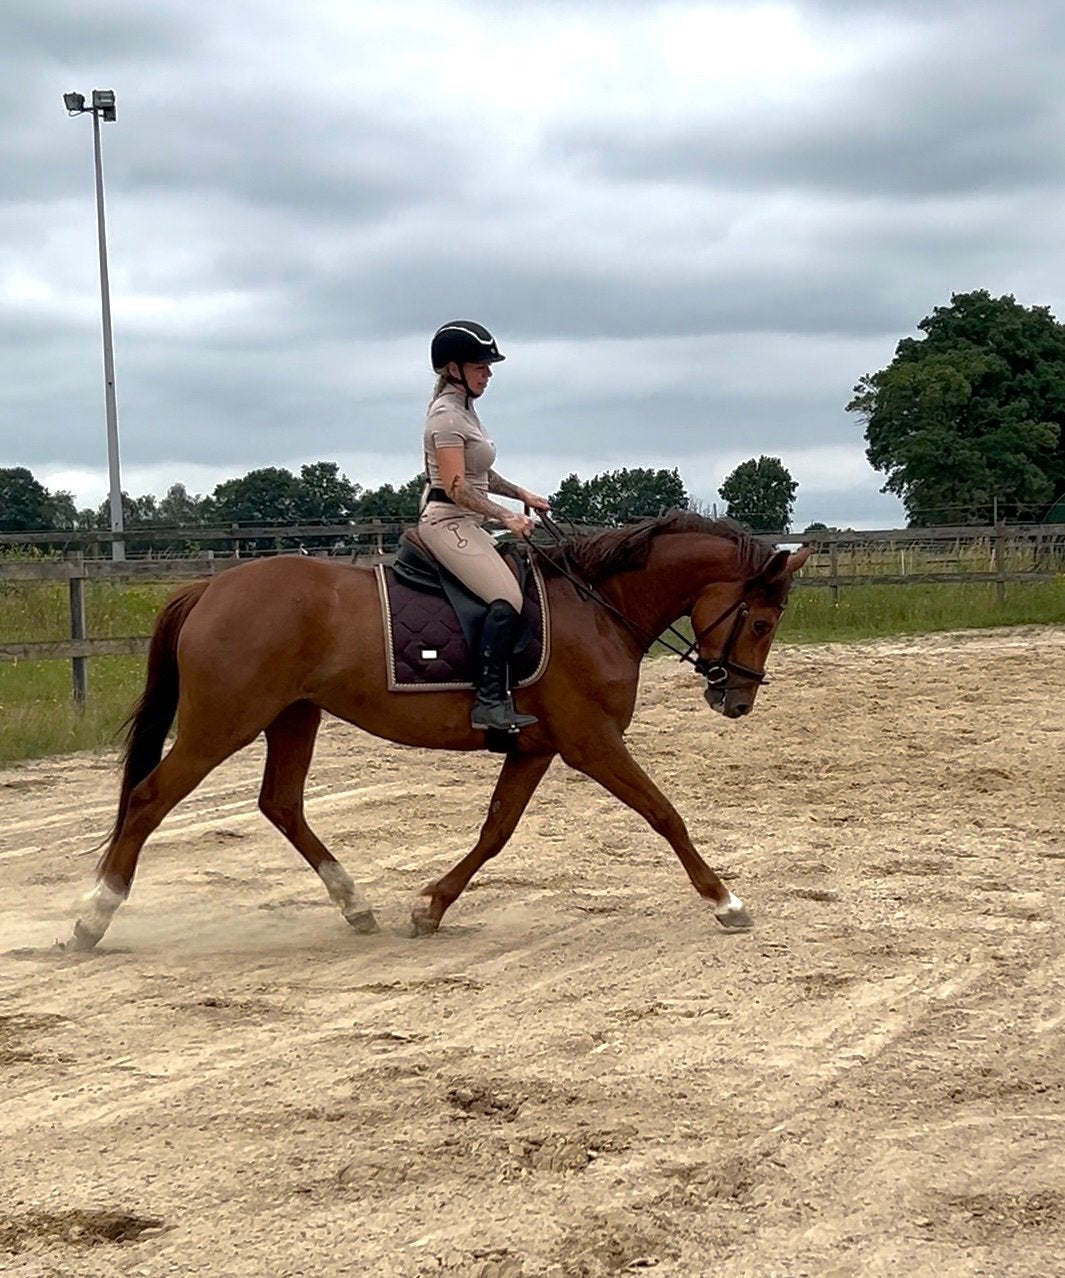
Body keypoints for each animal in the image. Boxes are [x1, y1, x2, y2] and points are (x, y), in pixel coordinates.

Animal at [67, 512, 811, 950]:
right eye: (761, 620)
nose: (737, 700)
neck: (597, 607)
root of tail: (210, 589)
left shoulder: (536, 746)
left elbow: (496, 830)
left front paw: (430, 908)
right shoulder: (591, 743)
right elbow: (664, 814)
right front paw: (726, 901)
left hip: (293, 716)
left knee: (281, 804)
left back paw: (355, 904)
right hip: (222, 723)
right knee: (149, 799)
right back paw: (93, 916)